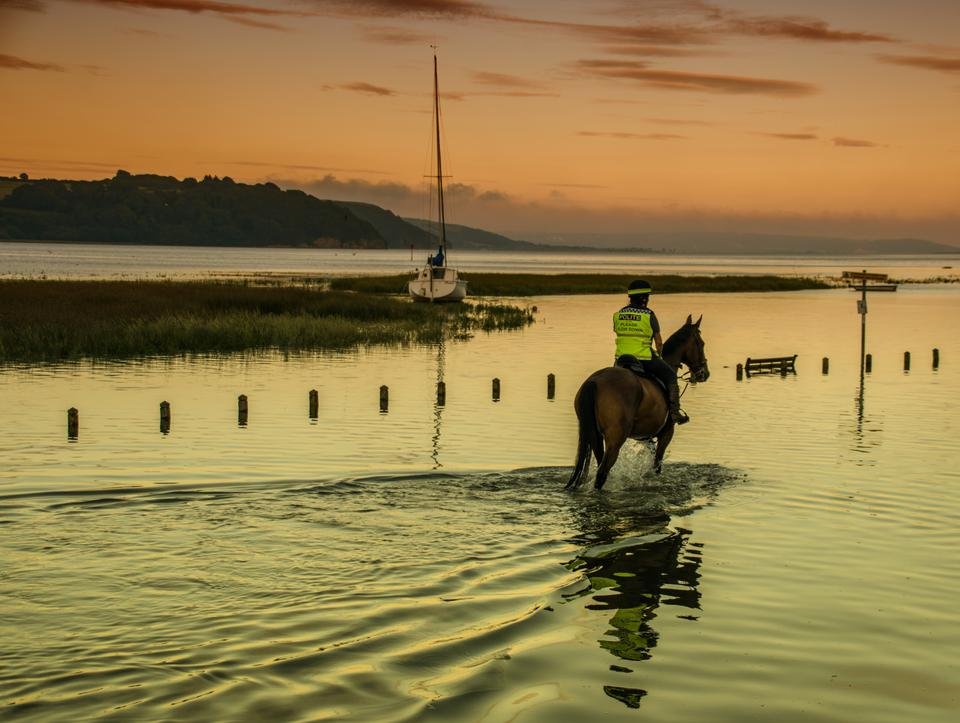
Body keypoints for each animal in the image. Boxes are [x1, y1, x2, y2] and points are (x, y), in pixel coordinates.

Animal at [568, 316, 708, 492]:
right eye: (701, 343)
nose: (704, 373)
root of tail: (594, 381)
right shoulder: (666, 433)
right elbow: (657, 465)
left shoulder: (646, 437)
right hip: (615, 439)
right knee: (602, 473)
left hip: (594, 435)